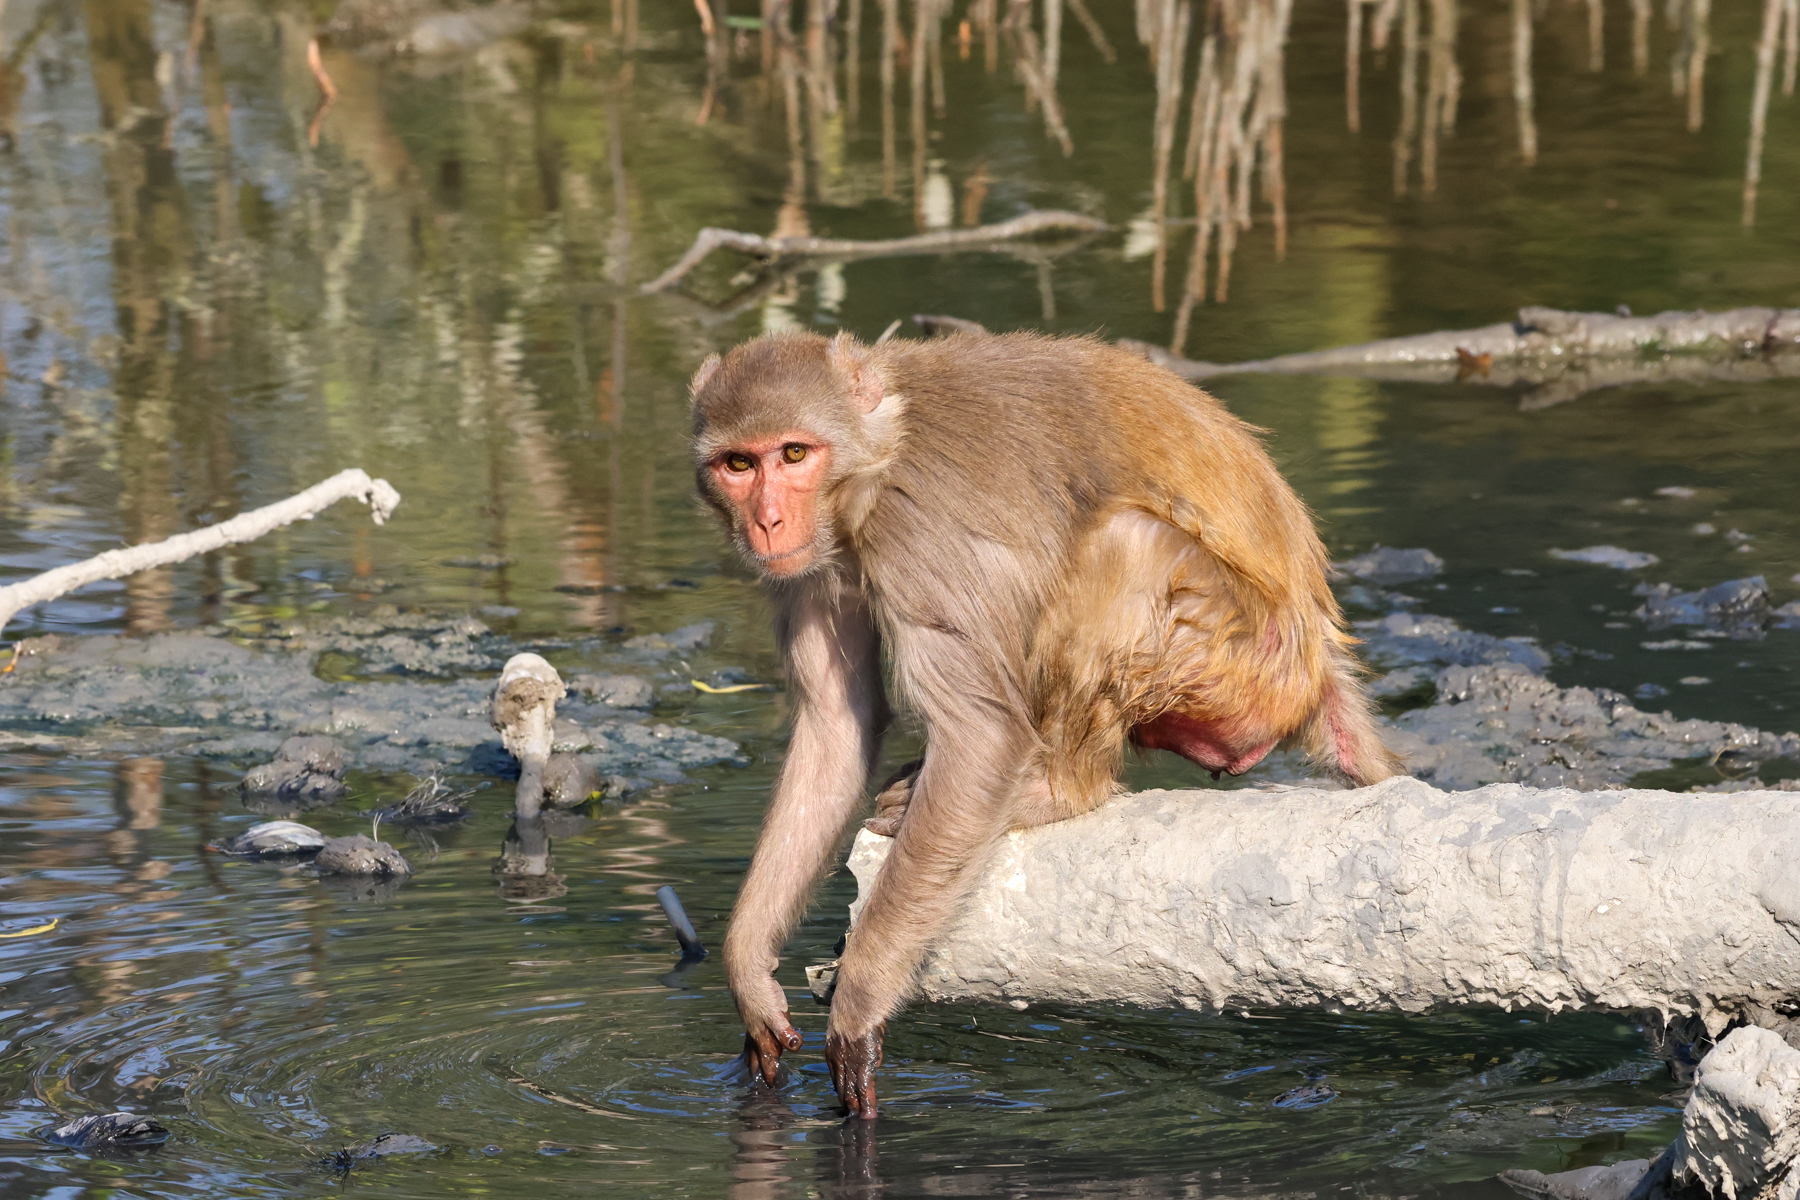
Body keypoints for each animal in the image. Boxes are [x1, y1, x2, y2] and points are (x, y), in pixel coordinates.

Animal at [691, 329, 1401, 1118]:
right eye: (739, 463)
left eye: (793, 454)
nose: (767, 521)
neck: (872, 461)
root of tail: (1316, 653)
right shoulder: (816, 561)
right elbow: (834, 728)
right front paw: (748, 968)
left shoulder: (916, 532)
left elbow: (979, 740)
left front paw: (862, 999)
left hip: (1245, 665)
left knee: (1123, 543)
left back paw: (1060, 789)